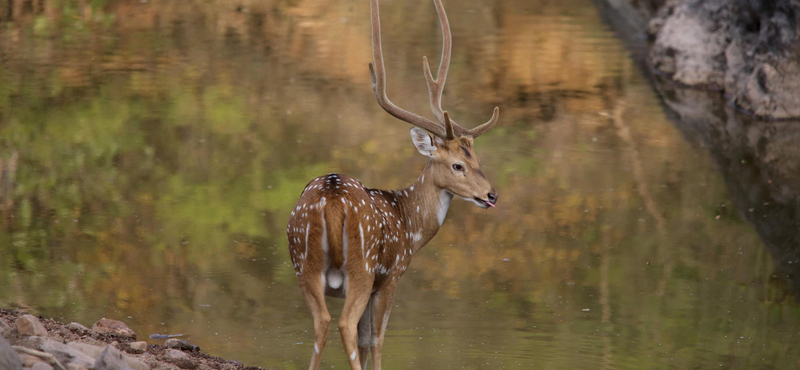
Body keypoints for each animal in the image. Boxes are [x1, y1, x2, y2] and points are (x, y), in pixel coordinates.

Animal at [288, 0, 496, 370]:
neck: (410, 223)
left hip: (303, 262)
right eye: (457, 165)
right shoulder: (392, 275)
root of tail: (332, 198)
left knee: (320, 324)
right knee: (345, 326)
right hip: (362, 266)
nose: (491, 195)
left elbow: (366, 338)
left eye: (478, 162)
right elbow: (375, 338)